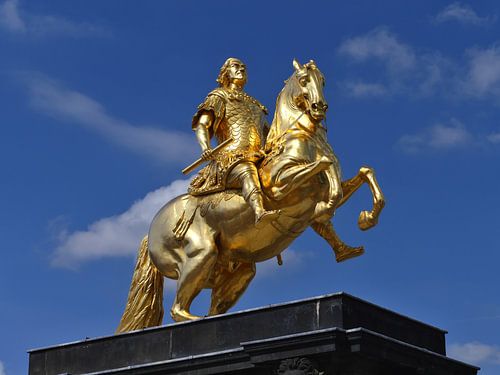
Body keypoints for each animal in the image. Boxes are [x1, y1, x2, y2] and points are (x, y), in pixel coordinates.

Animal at [118, 58, 386, 332]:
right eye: (303, 80)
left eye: (323, 80)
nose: (319, 107)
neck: (299, 136)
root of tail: (150, 230)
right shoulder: (279, 186)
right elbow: (323, 168)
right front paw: (326, 207)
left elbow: (362, 174)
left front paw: (366, 219)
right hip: (201, 254)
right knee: (178, 309)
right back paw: (197, 321)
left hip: (237, 271)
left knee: (213, 308)